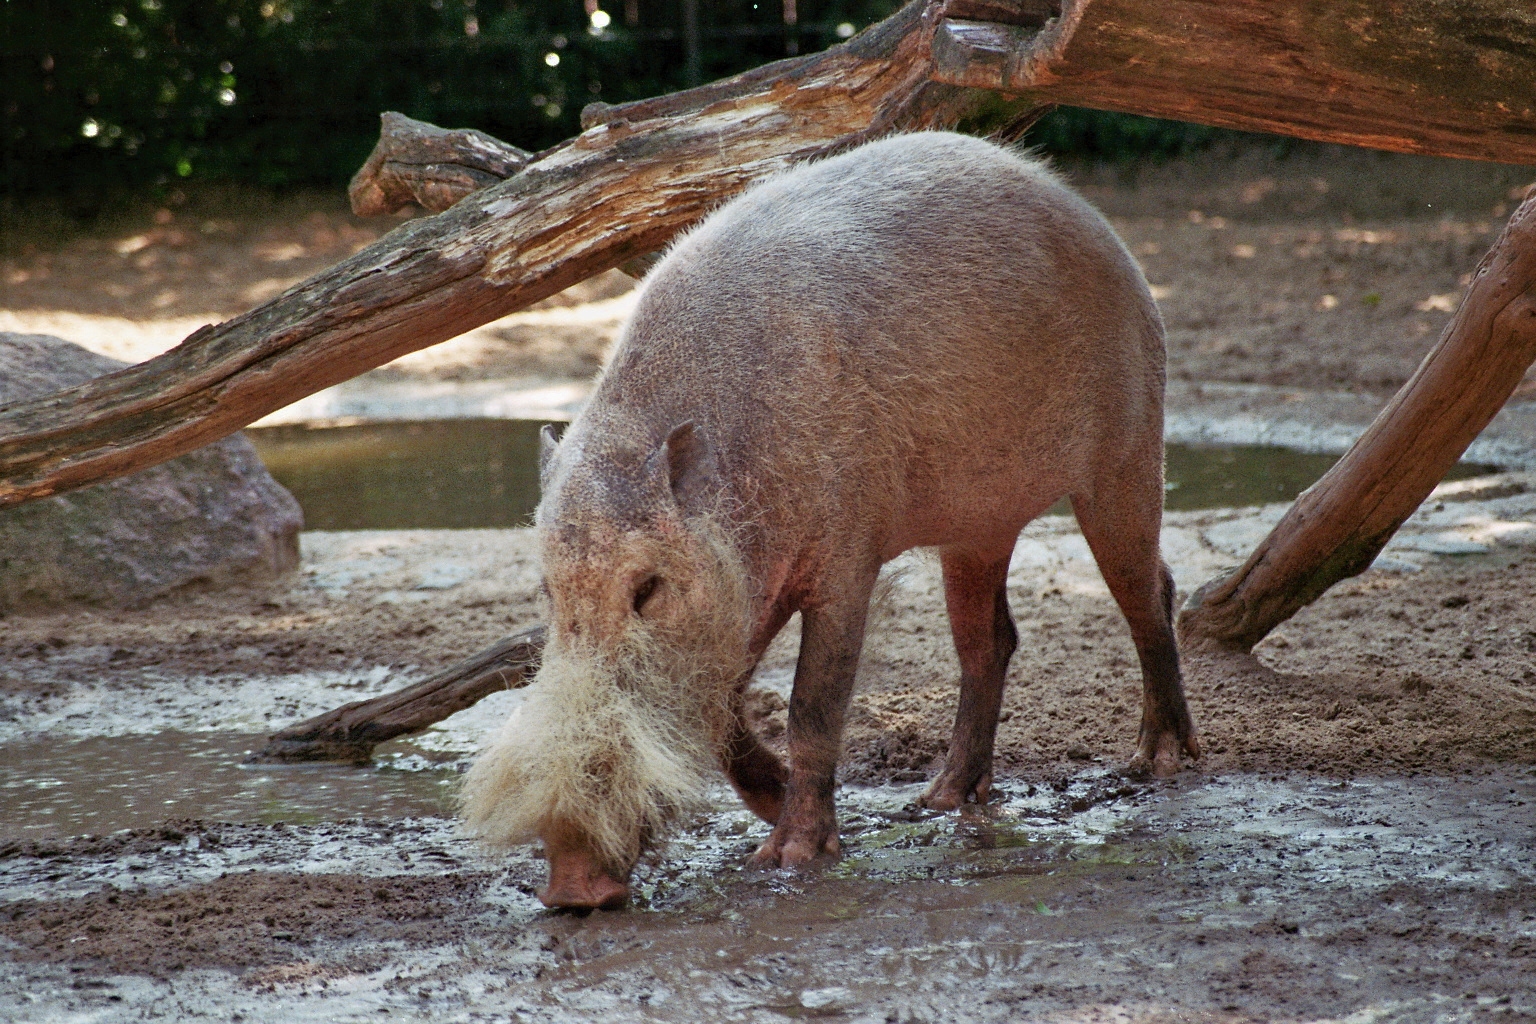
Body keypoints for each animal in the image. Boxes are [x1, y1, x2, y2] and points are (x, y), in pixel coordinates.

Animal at [460, 130, 1199, 909]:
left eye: (647, 589)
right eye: (548, 592)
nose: (571, 890)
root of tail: (1092, 216)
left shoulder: (850, 555)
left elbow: (813, 703)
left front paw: (787, 859)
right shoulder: (746, 598)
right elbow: (726, 714)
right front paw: (782, 804)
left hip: (1127, 449)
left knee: (1150, 591)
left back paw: (1158, 763)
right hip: (976, 530)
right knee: (991, 640)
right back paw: (936, 801)